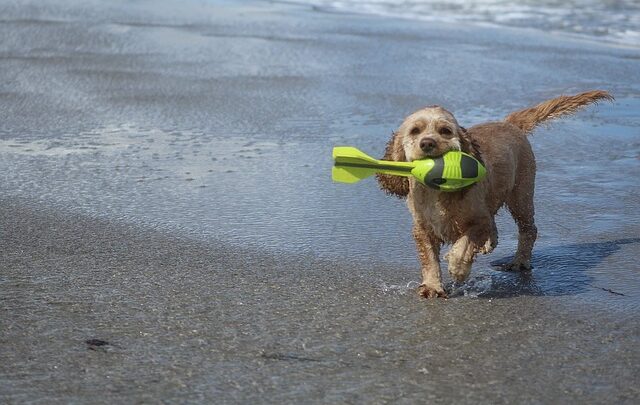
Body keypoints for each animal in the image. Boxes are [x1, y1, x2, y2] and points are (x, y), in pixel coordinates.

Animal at [378, 90, 612, 296]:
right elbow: (429, 259)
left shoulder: (479, 221)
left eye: (445, 130)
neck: (437, 190)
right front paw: (432, 287)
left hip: (521, 196)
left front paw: (457, 267)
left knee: (529, 229)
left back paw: (519, 262)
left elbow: (464, 244)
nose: (427, 143)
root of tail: (509, 123)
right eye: (415, 131)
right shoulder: (422, 229)